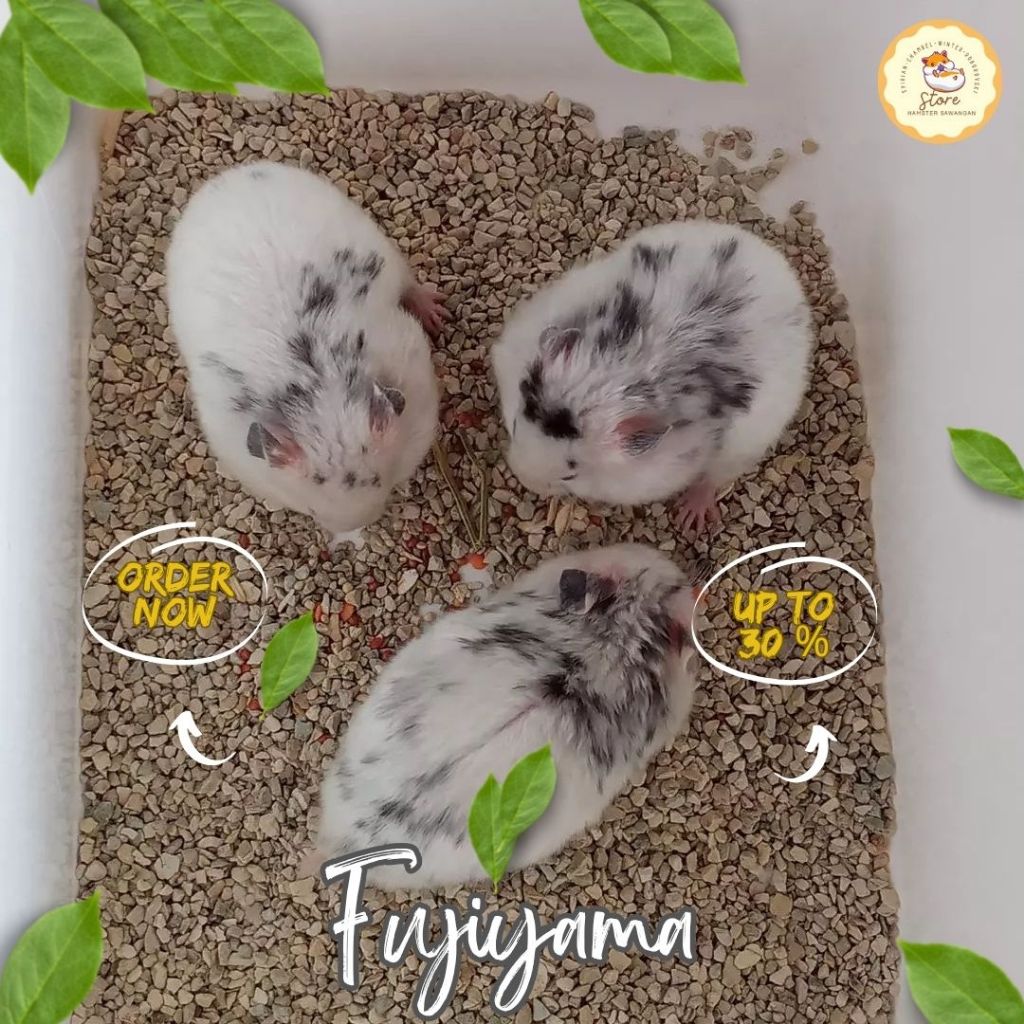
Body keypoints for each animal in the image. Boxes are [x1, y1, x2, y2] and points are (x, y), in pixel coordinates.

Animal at [166, 161, 445, 542]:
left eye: (383, 486)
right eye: (311, 511)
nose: (354, 528)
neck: (321, 397)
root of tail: (233, 174)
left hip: (387, 250)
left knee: (412, 285)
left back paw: (436, 312)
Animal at [491, 221, 812, 532]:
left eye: (572, 472)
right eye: (515, 426)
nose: (523, 479)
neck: (616, 371)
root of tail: (781, 269)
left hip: (745, 445)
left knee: (713, 479)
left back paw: (691, 517)